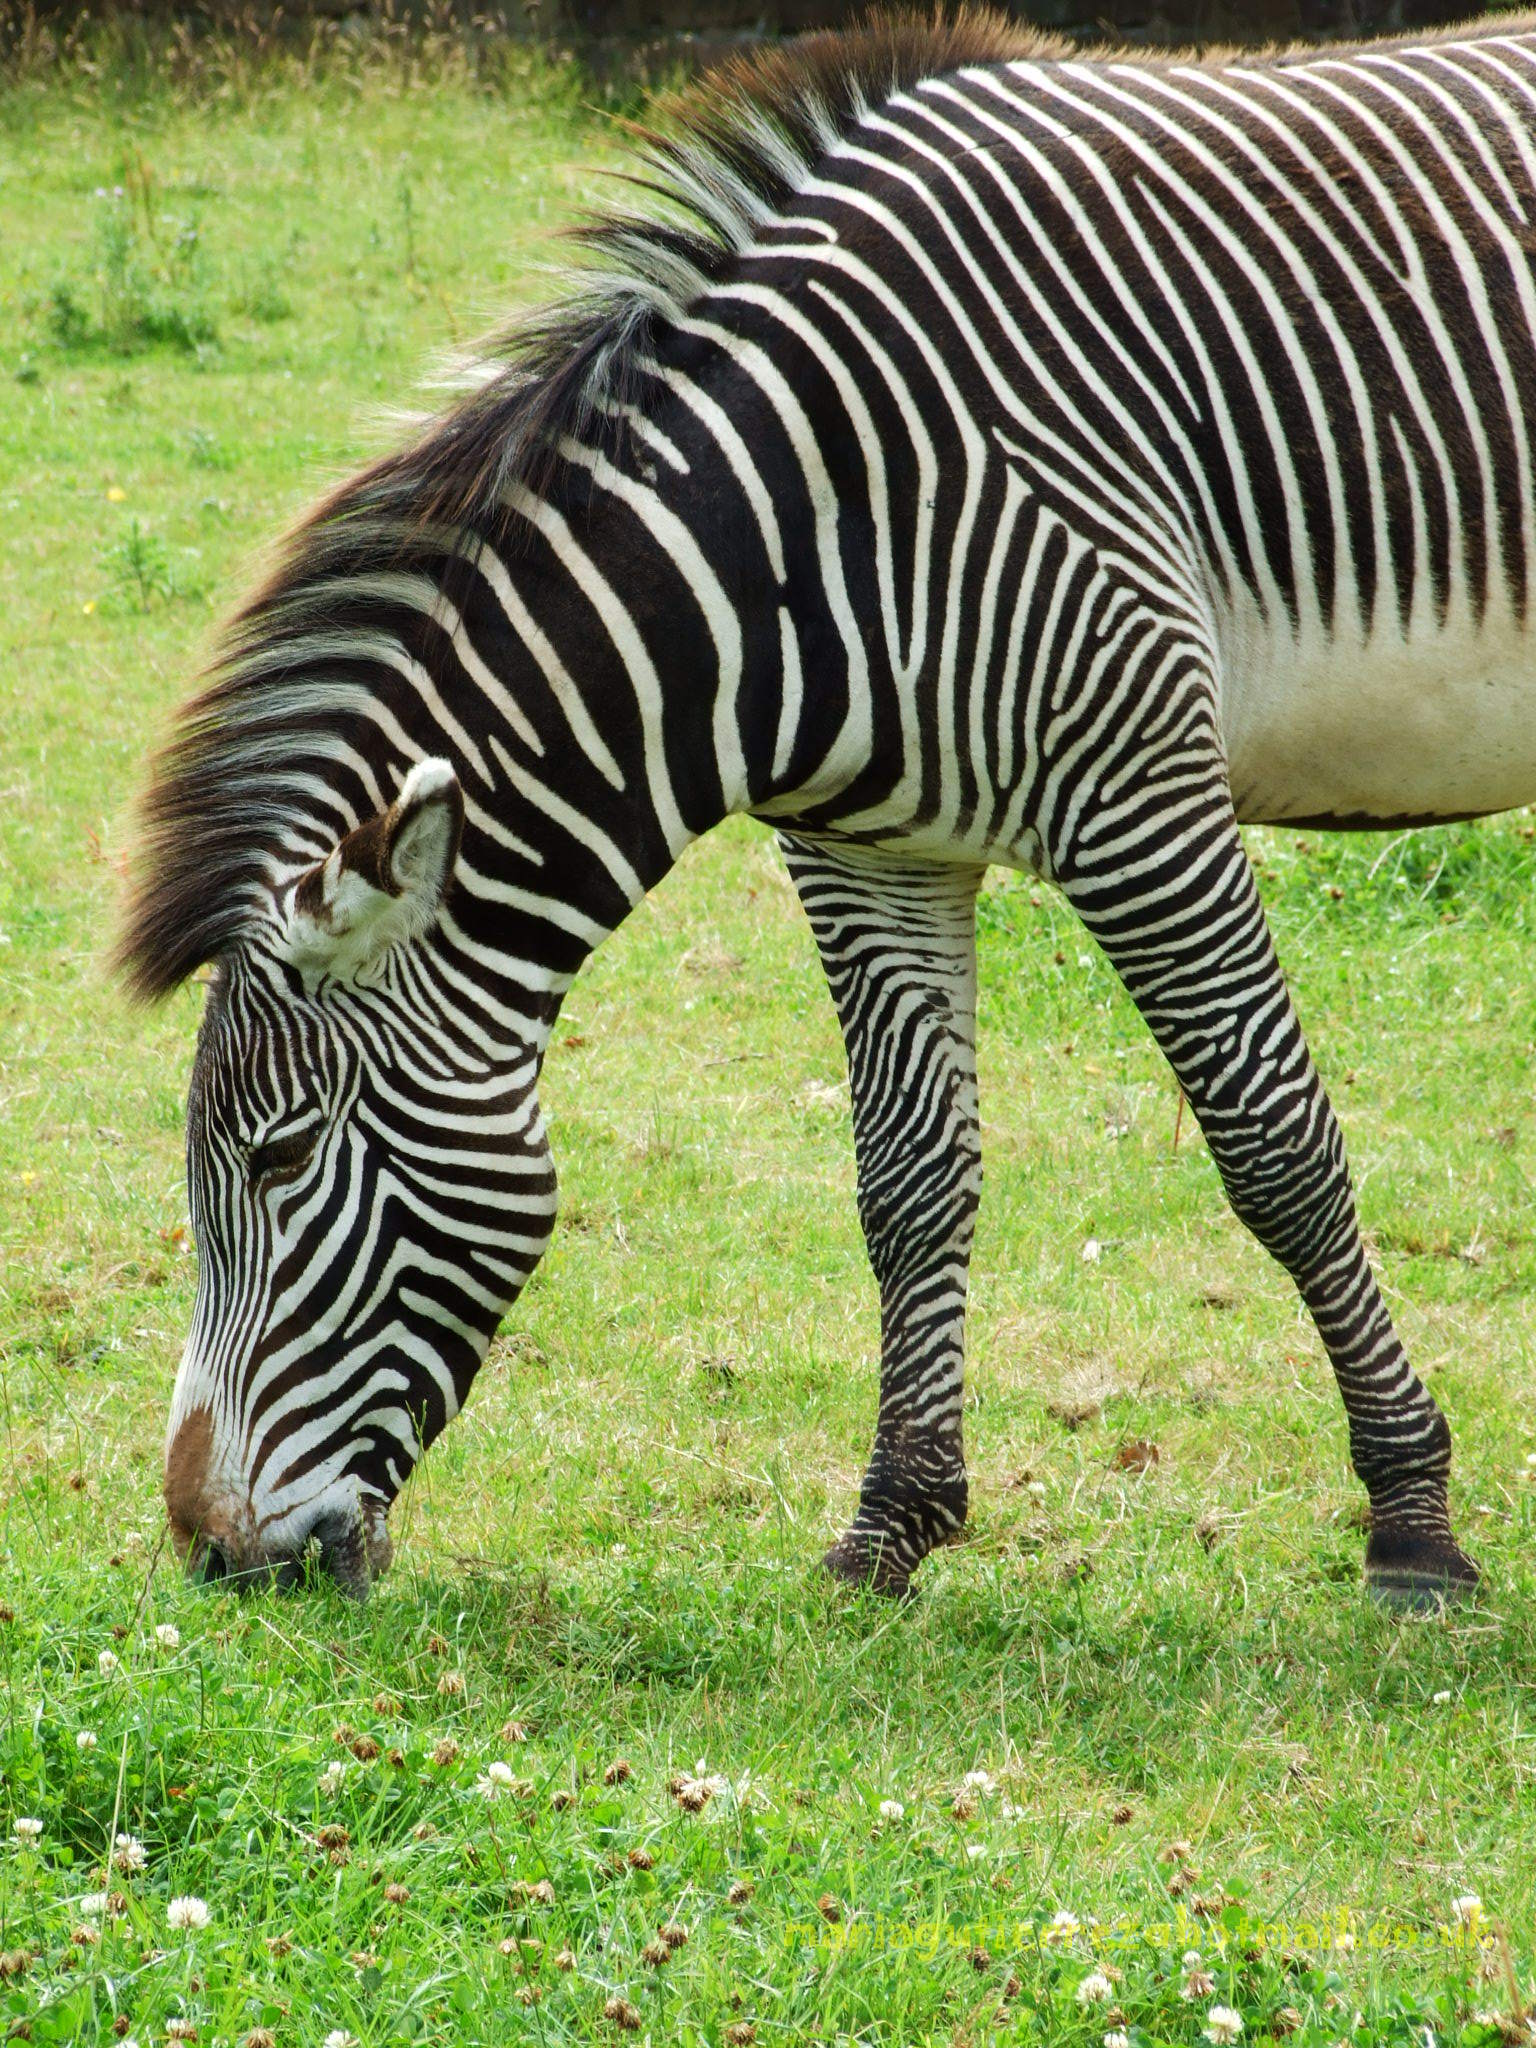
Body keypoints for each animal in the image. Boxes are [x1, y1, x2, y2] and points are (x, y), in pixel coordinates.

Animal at [117, 8, 1536, 1605]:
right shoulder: (867, 848)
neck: (810, 530)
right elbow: (907, 1182)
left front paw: (1412, 1517)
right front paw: (890, 1527)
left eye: (281, 1157)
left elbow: (1277, 1150)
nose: (210, 1548)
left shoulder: (1139, 796)